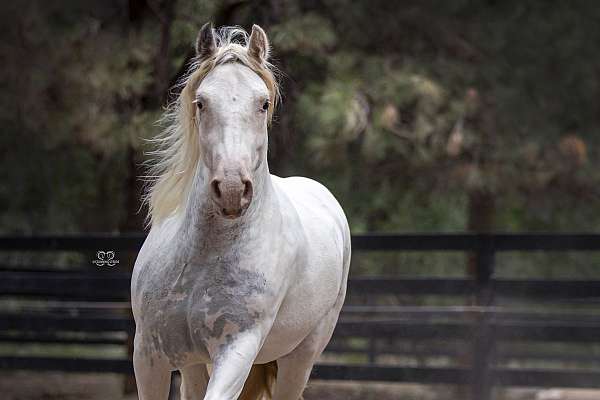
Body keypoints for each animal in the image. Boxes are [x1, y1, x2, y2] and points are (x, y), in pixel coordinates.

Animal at [129, 24, 350, 400]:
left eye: (263, 103)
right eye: (201, 102)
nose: (232, 189)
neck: (203, 257)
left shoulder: (237, 350)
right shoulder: (148, 355)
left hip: (300, 356)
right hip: (192, 364)